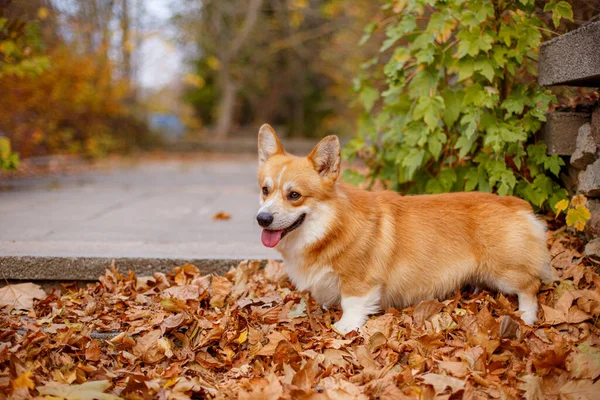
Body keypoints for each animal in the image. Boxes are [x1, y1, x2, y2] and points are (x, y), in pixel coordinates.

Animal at [255, 123, 556, 332]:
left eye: (294, 195)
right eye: (265, 190)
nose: (262, 219)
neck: (330, 227)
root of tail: (517, 203)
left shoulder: (359, 280)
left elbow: (352, 302)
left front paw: (345, 326)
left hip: (505, 271)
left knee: (531, 286)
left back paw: (527, 316)